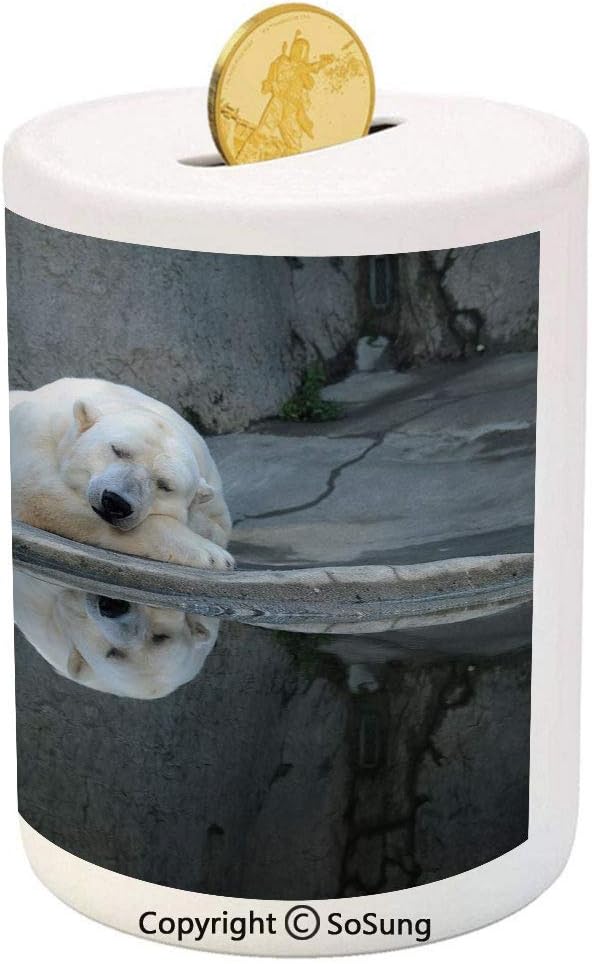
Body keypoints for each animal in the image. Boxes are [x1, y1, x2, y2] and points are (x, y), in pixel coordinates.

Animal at [10, 378, 233, 570]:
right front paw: (213, 555)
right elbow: (38, 493)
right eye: (117, 450)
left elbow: (218, 527)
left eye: (165, 485)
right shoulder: (39, 431)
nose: (116, 502)